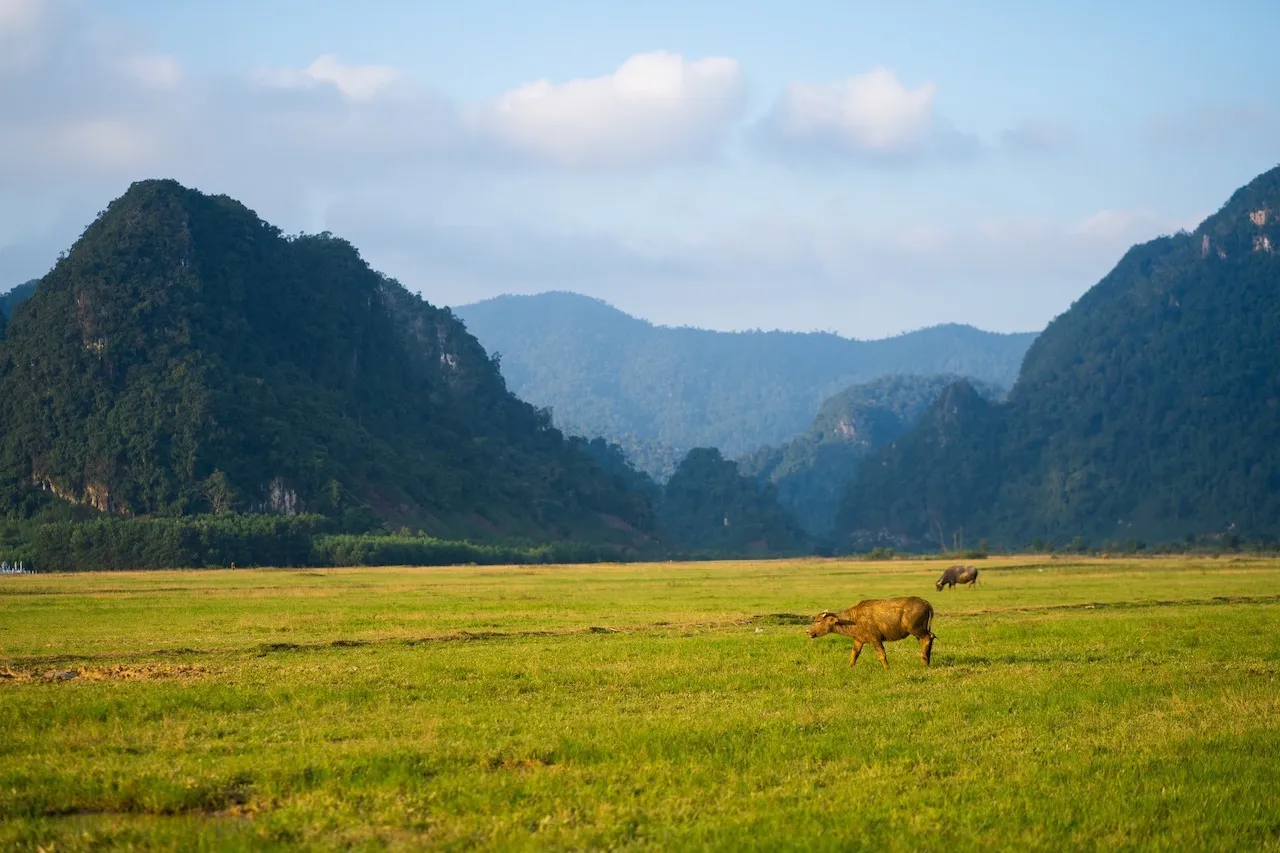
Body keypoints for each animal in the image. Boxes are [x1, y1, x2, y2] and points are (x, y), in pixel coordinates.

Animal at [803, 594, 936, 666]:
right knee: (928, 639)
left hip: (916, 629)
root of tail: (925, 603)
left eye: (818, 621)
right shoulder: (858, 640)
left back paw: (924, 661)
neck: (854, 619)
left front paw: (887, 668)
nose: (808, 632)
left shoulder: (875, 639)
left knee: (928, 638)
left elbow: (882, 655)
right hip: (918, 631)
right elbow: (854, 655)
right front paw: (849, 667)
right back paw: (927, 661)